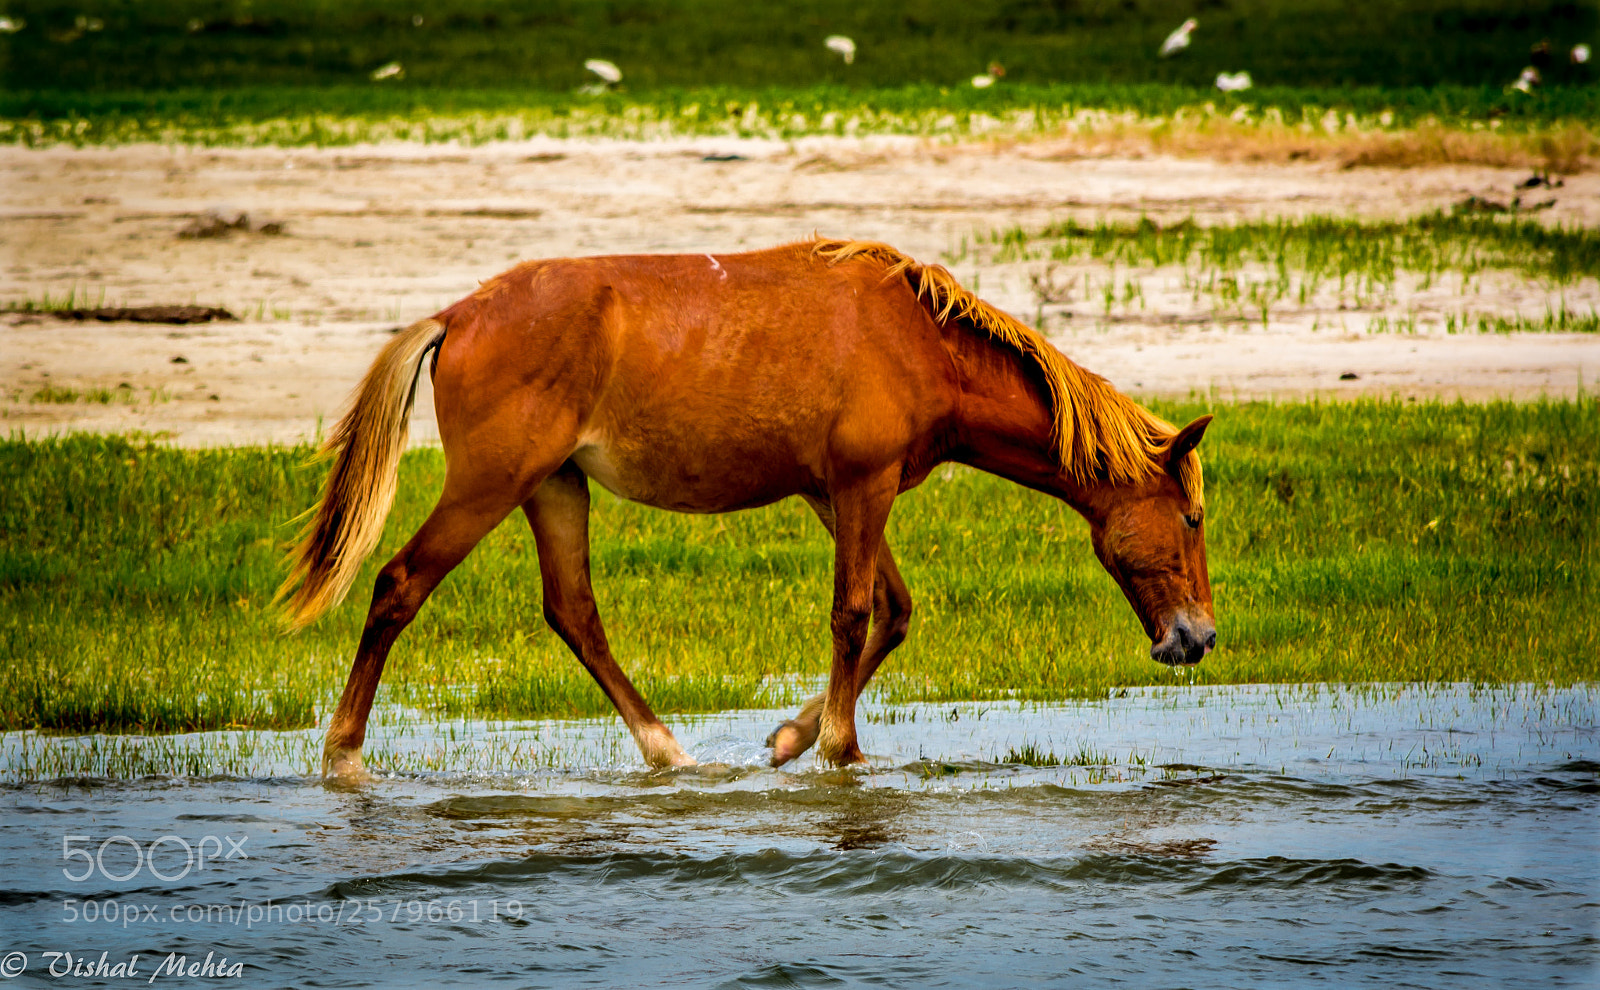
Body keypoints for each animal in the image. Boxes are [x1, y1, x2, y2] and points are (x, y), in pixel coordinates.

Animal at [278, 237, 1215, 781]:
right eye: (1193, 519)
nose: (1198, 638)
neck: (920, 340)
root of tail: (456, 314)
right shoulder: (861, 484)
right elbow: (853, 613)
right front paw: (839, 750)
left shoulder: (836, 492)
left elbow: (894, 613)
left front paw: (790, 740)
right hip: (490, 485)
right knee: (400, 584)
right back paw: (344, 756)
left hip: (554, 488)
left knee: (574, 613)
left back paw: (668, 751)